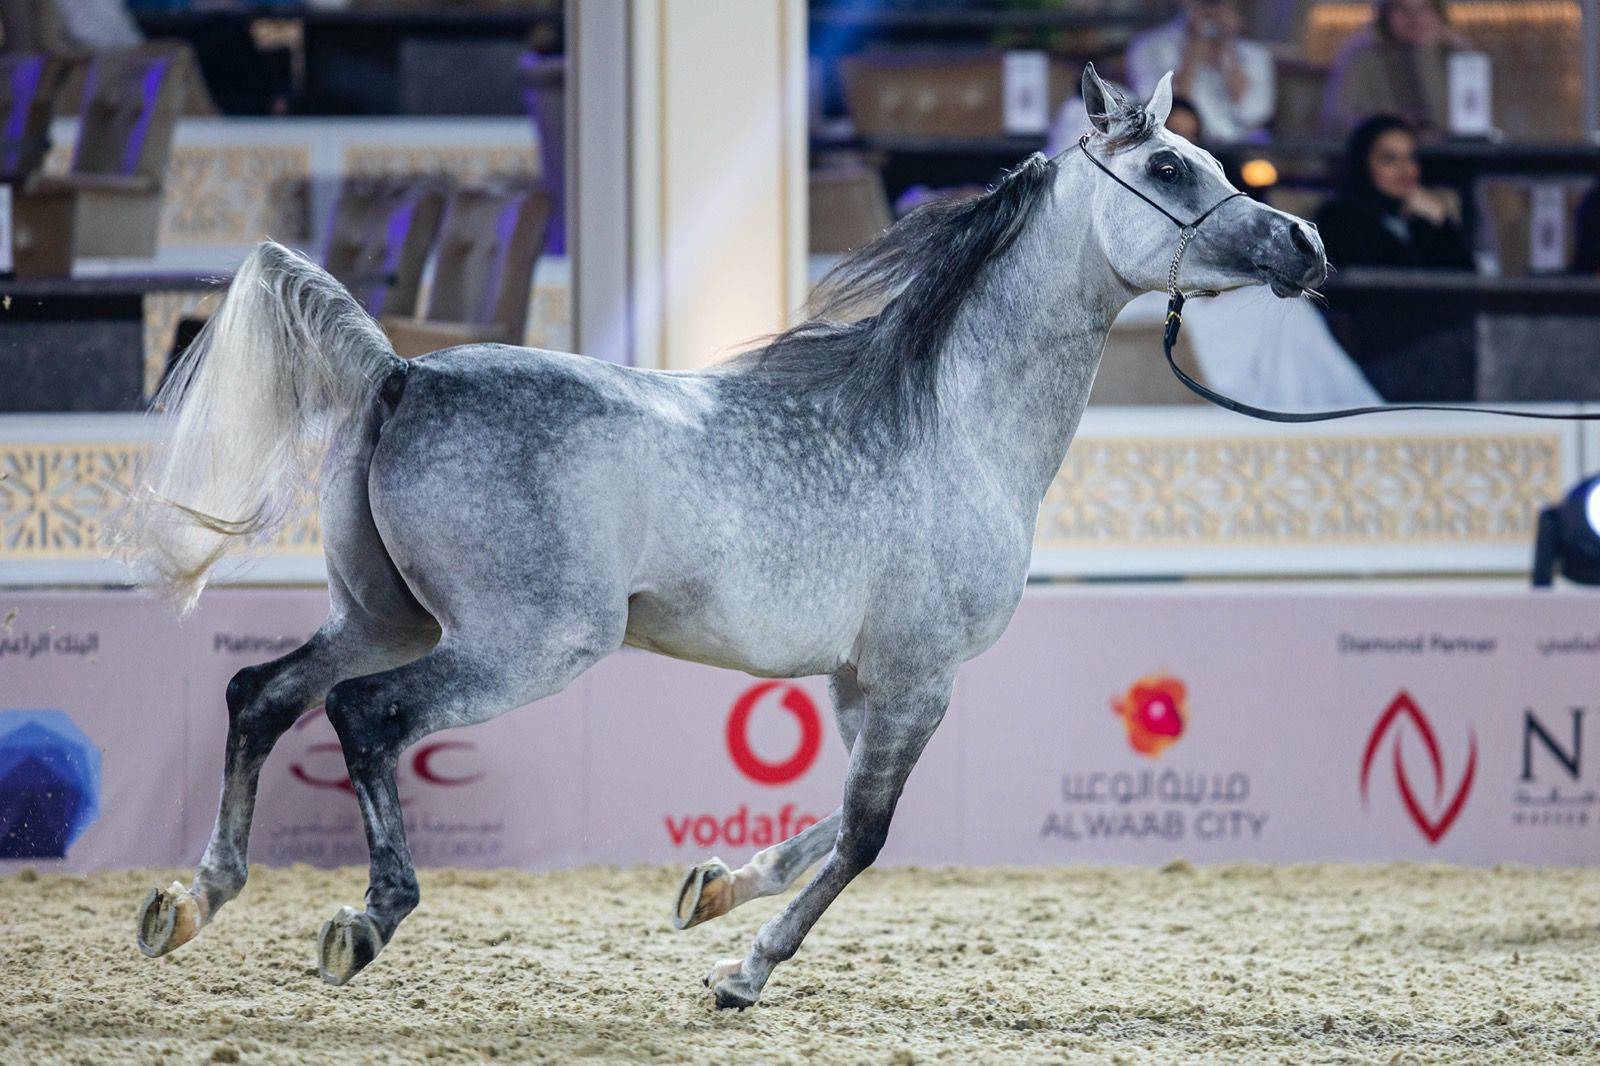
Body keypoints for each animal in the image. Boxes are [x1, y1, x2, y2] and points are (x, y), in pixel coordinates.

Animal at [121, 66, 1325, 1009]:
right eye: (1169, 168)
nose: (1304, 242)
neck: (950, 425)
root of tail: (401, 372)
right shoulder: (920, 677)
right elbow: (866, 832)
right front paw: (743, 971)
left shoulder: (859, 681)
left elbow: (828, 822)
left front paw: (712, 892)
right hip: (523, 644)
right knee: (363, 716)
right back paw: (366, 920)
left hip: (384, 614)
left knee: (262, 694)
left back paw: (190, 901)